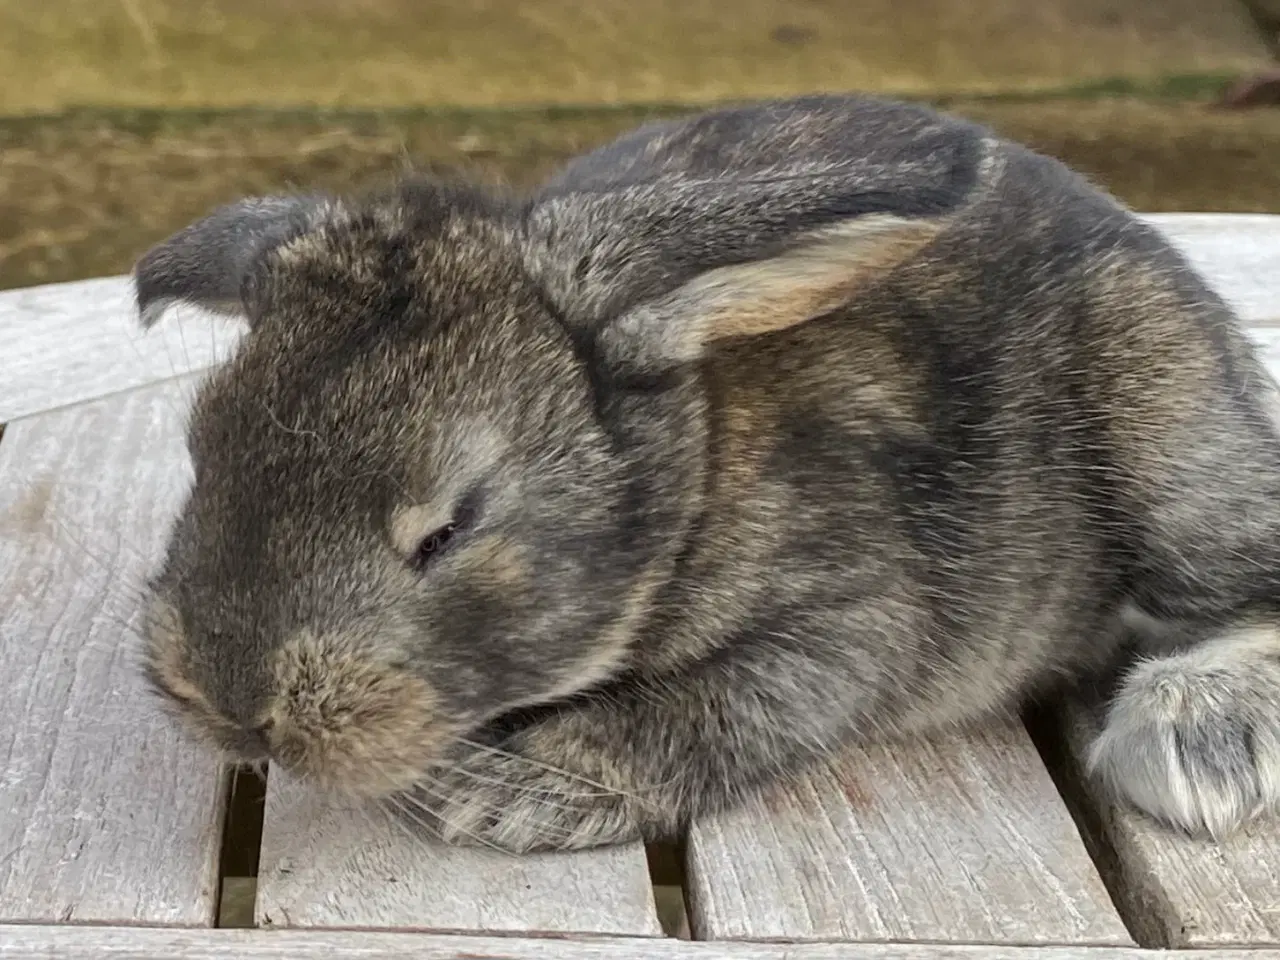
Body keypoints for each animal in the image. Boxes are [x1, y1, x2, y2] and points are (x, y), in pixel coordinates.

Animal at [127, 94, 1280, 855]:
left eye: (449, 528)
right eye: (199, 455)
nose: (232, 704)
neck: (693, 476)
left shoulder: (851, 618)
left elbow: (727, 706)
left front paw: (513, 792)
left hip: (1162, 440)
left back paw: (1196, 736)